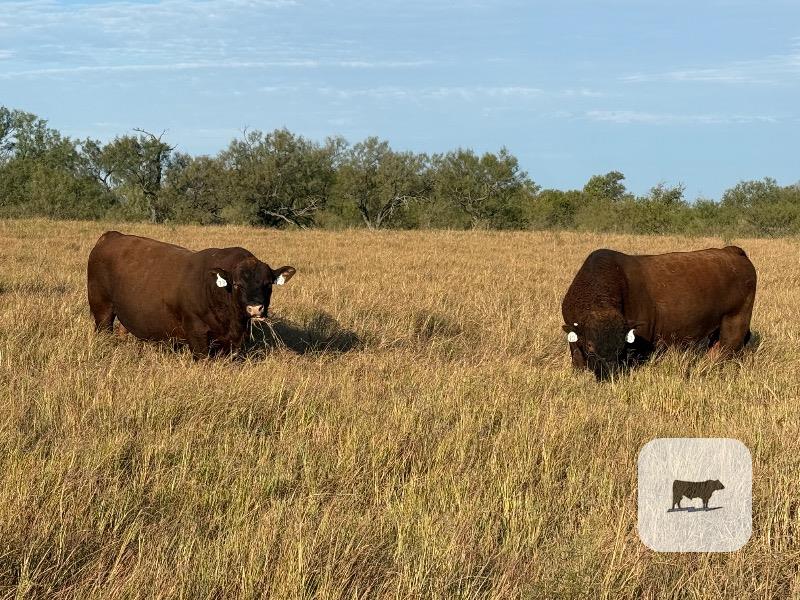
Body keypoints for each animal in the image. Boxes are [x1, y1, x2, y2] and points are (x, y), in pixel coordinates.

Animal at [87, 231, 295, 358]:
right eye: (237, 284)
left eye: (268, 284)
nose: (255, 308)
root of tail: (112, 236)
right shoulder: (196, 333)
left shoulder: (234, 341)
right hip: (102, 309)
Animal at [561, 246, 756, 379]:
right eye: (590, 346)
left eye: (621, 346)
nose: (609, 374)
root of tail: (731, 251)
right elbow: (577, 357)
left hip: (736, 320)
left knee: (728, 348)